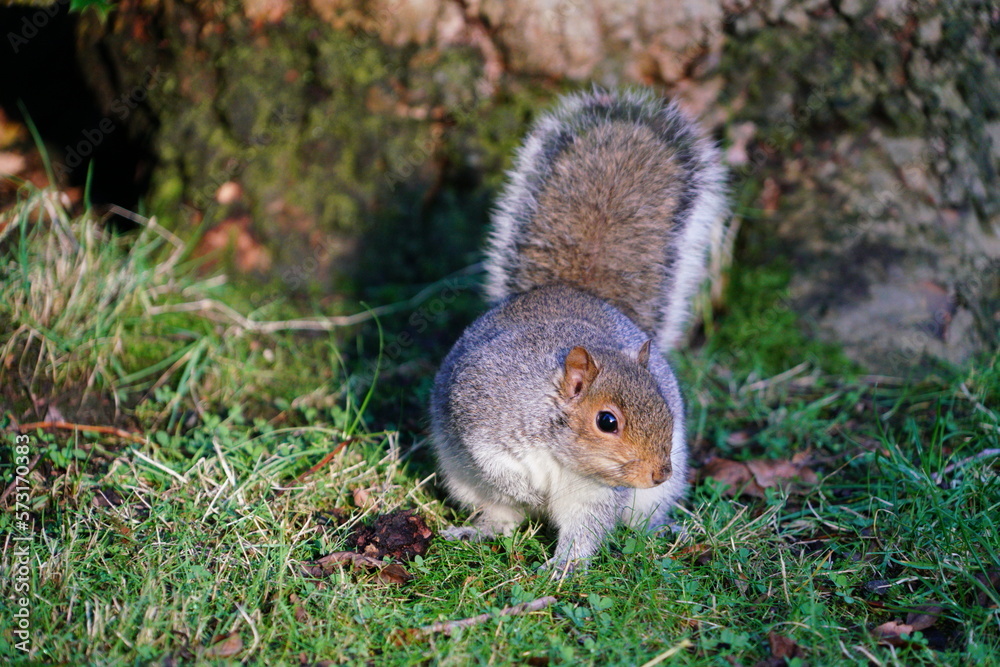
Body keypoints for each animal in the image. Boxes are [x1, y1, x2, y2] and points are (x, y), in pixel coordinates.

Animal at [430, 88, 728, 576]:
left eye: (667, 406)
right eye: (607, 421)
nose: (660, 473)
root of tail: (573, 288)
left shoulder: (594, 490)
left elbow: (585, 528)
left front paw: (565, 567)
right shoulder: (481, 414)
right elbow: (495, 466)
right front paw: (529, 493)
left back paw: (661, 530)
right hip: (465, 481)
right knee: (500, 516)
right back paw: (476, 530)